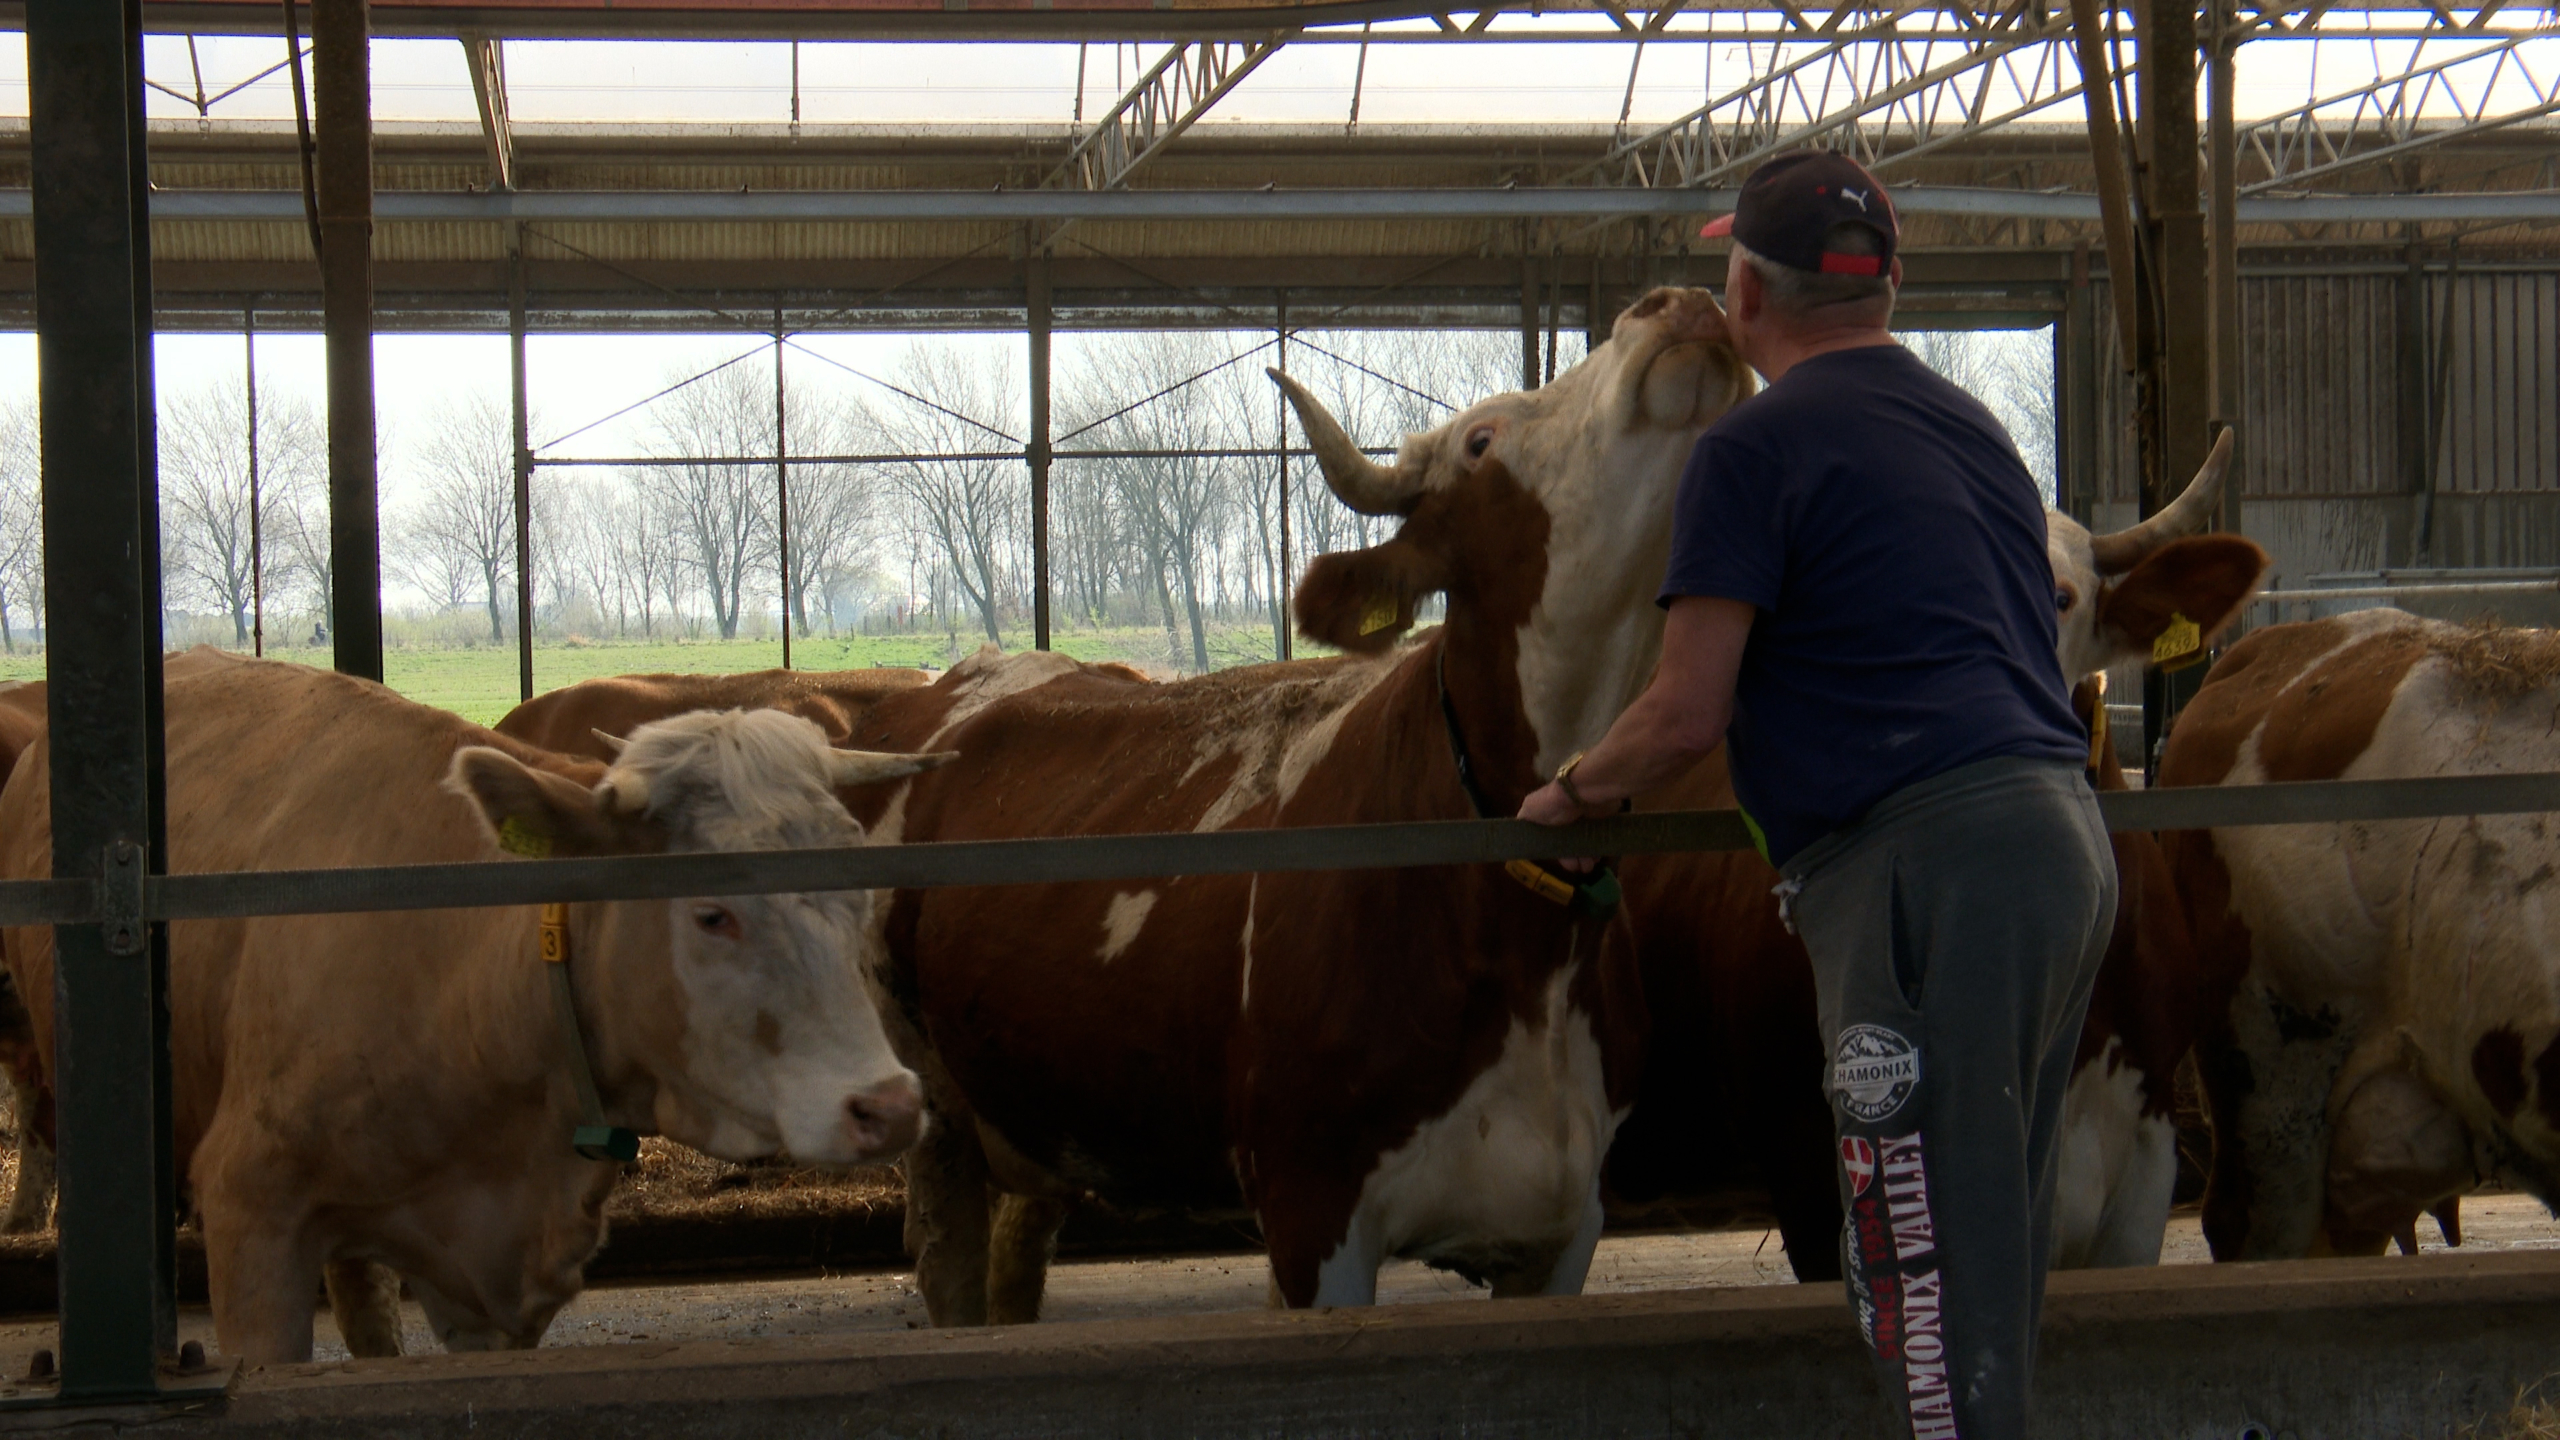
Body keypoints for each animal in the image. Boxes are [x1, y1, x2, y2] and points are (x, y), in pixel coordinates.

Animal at [839, 285, 1761, 1322]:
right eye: (1481, 440)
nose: (1676, 300)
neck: (1520, 940)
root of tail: (980, 671)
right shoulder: (1312, 1209)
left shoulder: (1560, 1223)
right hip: (928, 1104)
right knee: (951, 1266)